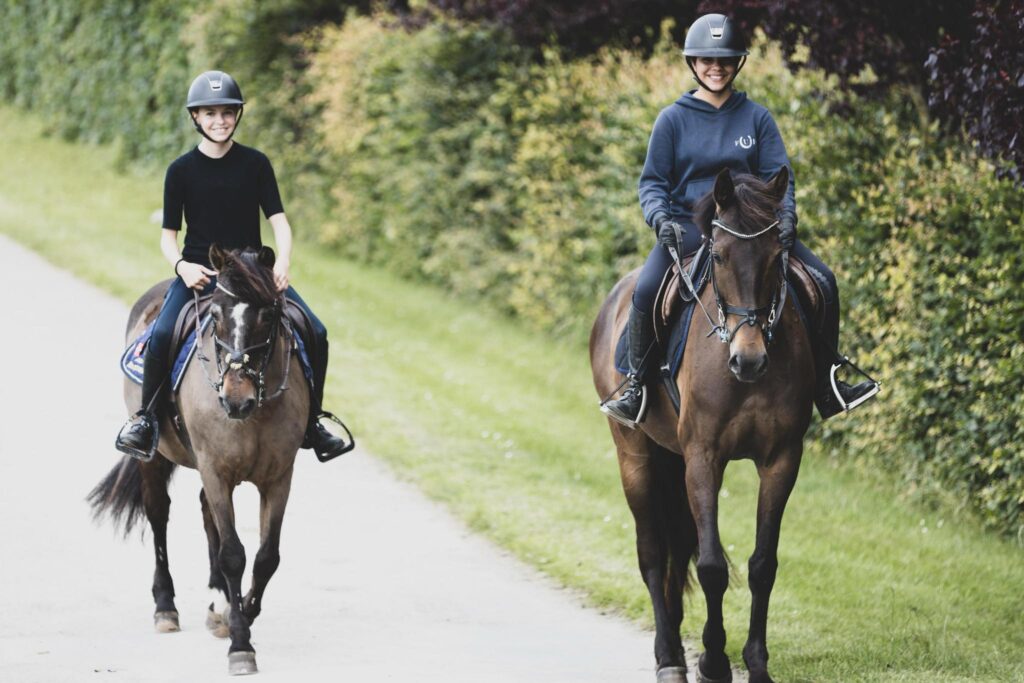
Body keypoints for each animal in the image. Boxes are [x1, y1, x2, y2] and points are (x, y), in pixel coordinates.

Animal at [89, 244, 307, 671]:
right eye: (216, 315)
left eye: (268, 315)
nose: (237, 400)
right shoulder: (216, 469)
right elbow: (234, 554)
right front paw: (240, 643)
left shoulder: (278, 477)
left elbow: (265, 557)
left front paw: (235, 614)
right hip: (155, 458)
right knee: (158, 514)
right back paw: (165, 607)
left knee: (208, 516)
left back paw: (218, 596)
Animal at [593, 169, 815, 683]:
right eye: (718, 256)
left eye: (777, 255)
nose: (749, 360)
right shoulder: (703, 457)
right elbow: (712, 565)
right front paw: (713, 662)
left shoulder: (782, 460)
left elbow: (762, 565)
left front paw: (756, 664)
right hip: (634, 456)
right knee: (653, 554)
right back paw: (669, 656)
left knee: (675, 552)